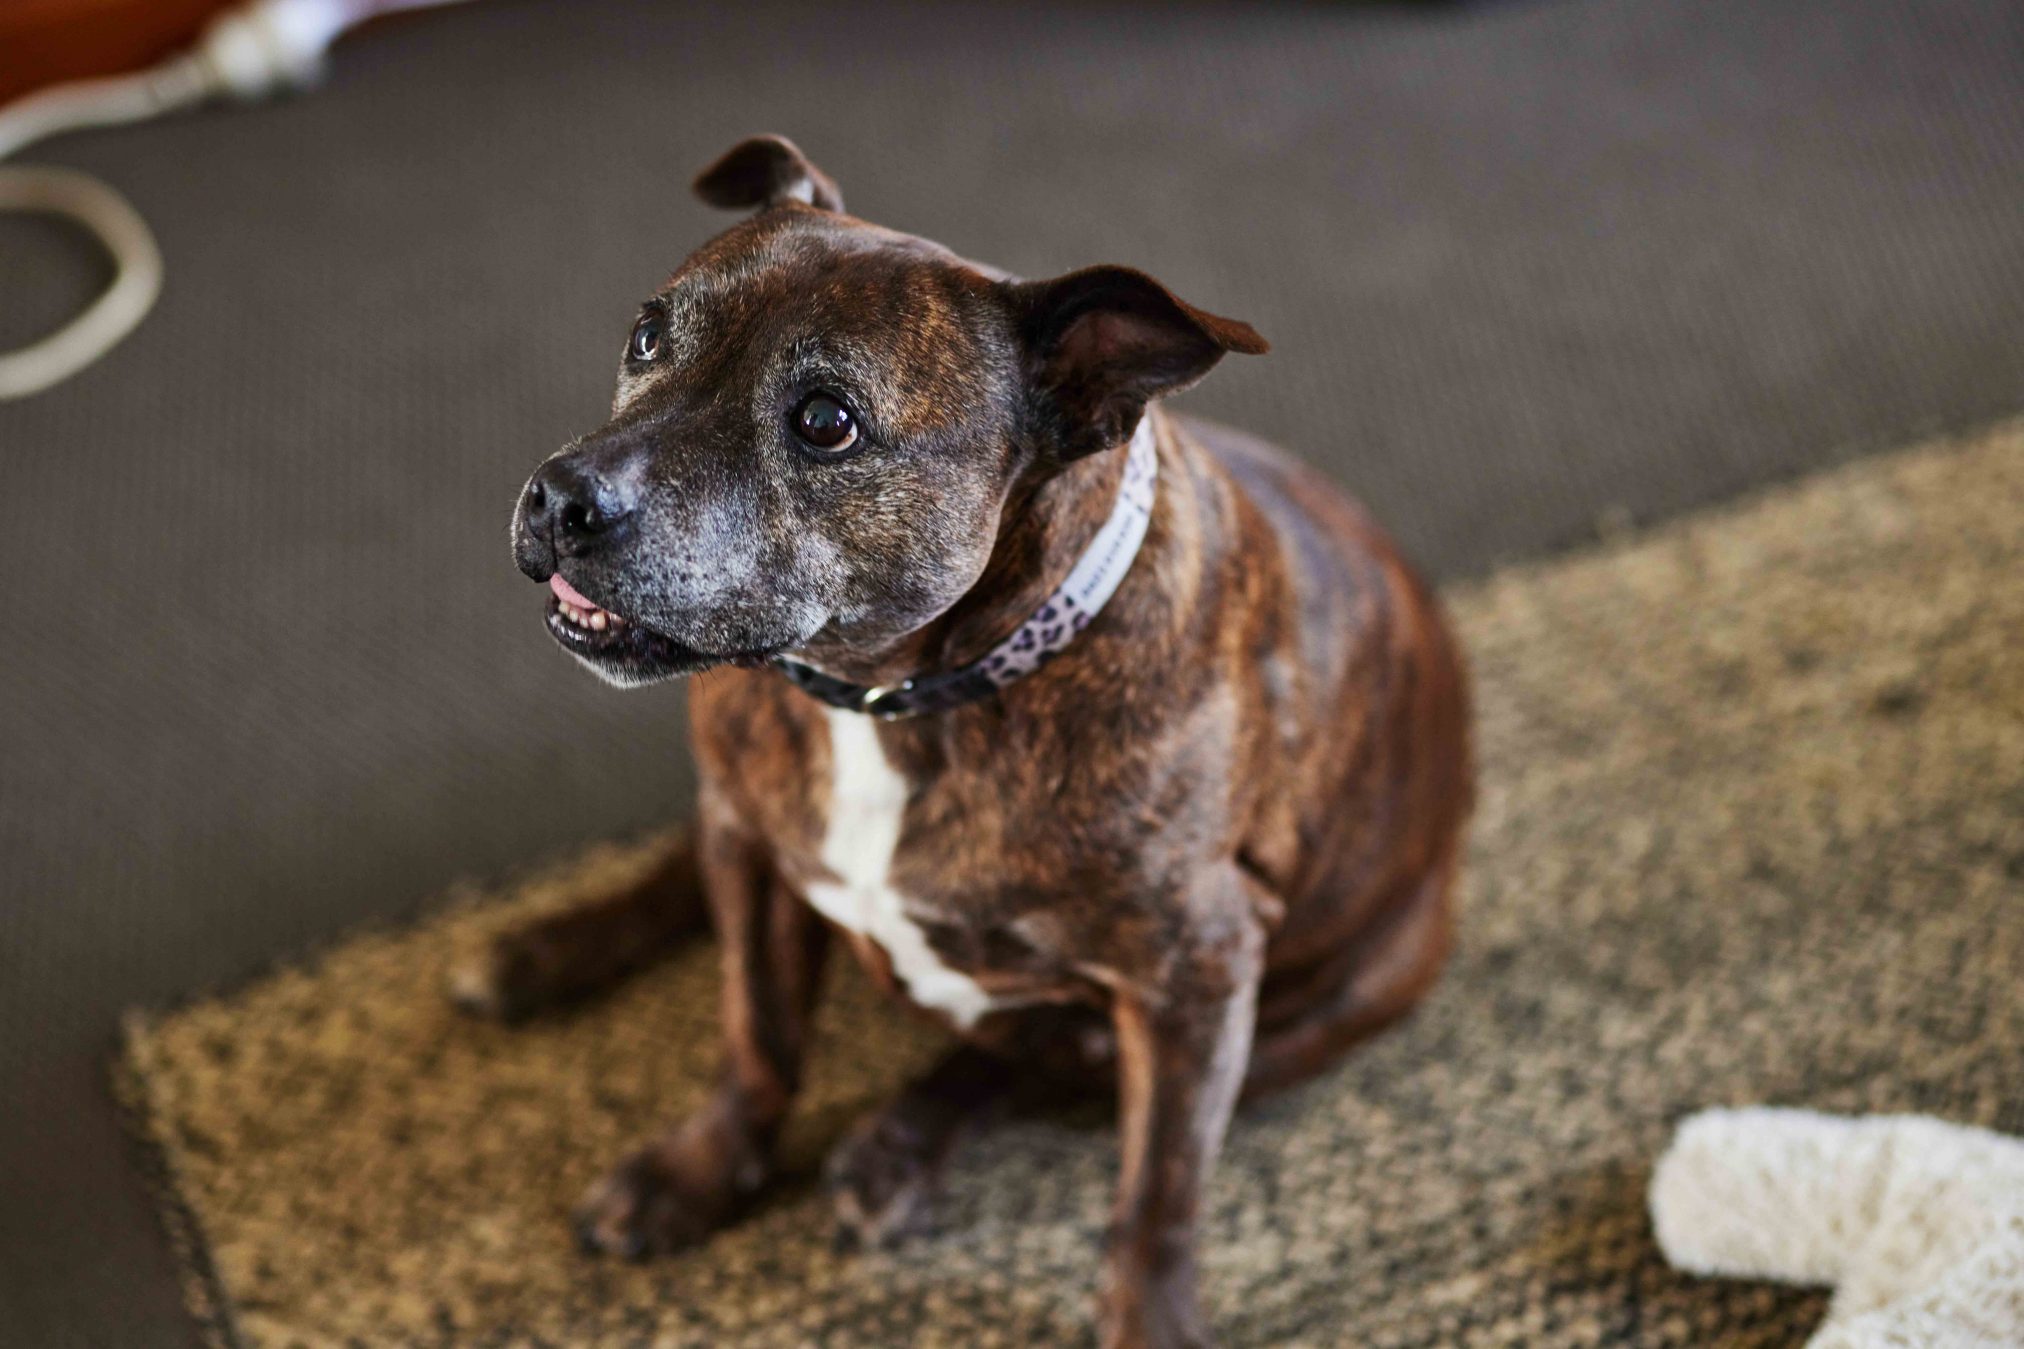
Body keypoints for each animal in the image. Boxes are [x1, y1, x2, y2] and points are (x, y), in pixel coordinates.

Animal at [477, 137, 1489, 1349]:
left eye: (826, 420)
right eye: (646, 333)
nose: (561, 496)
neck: (892, 695)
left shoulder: (1191, 976)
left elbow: (1159, 1191)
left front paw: (1149, 1318)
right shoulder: (754, 858)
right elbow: (755, 1032)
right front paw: (701, 1170)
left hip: (1305, 1004)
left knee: (1031, 1060)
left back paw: (898, 1148)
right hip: (734, 812)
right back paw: (544, 950)